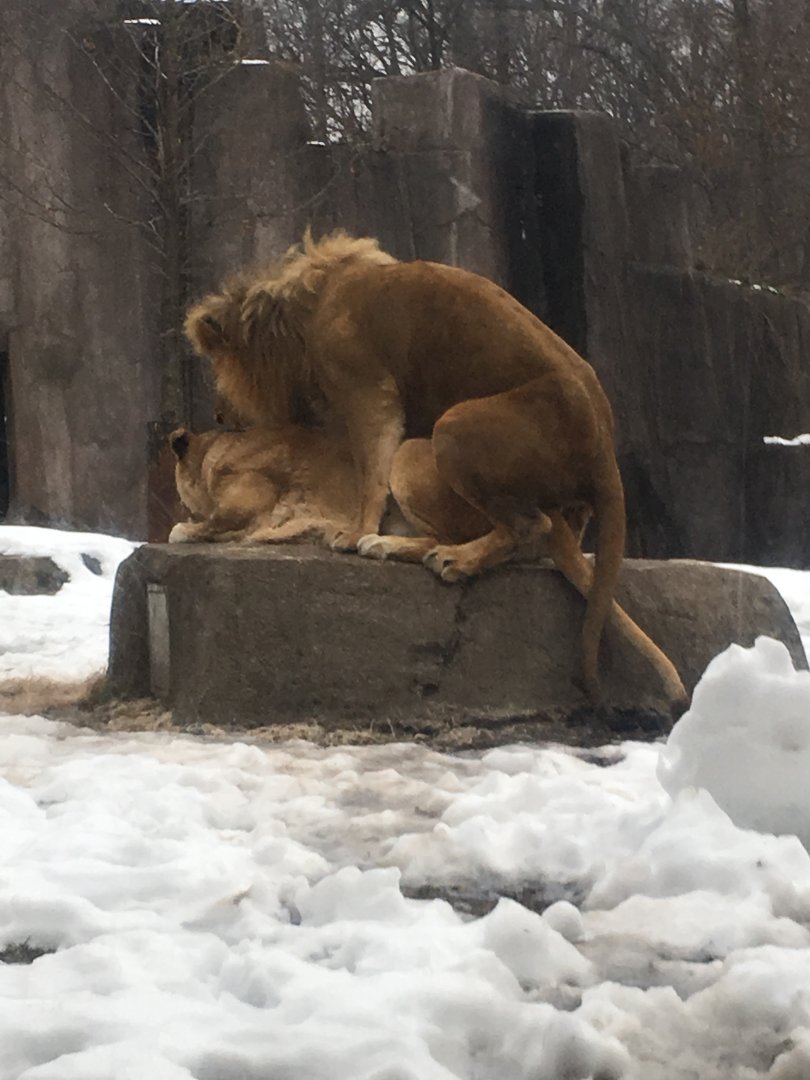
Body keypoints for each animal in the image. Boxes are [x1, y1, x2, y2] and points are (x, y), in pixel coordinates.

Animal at [184, 231, 686, 705]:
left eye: (219, 369)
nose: (218, 415)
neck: (309, 302)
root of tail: (604, 451)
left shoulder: (368, 390)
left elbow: (370, 468)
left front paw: (353, 531)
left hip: (448, 430)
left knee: (529, 526)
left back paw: (443, 558)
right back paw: (401, 547)